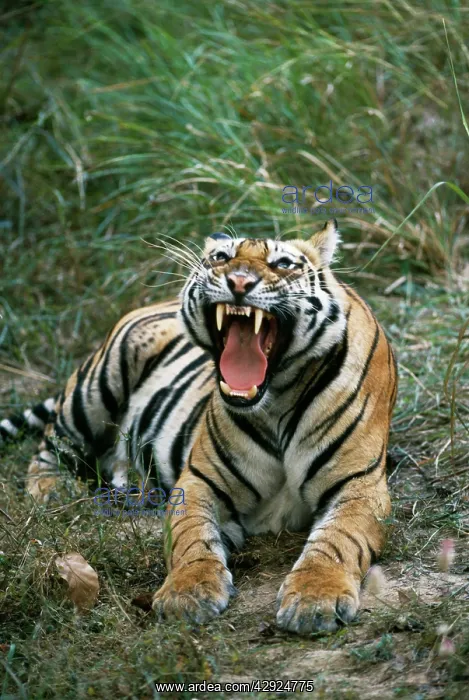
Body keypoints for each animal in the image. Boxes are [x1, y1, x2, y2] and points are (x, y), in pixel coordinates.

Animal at [1, 219, 397, 634]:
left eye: (283, 263)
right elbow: (193, 539)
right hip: (97, 385)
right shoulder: (198, 482)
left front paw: (315, 598)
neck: (277, 399)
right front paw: (187, 594)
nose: (239, 281)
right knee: (50, 445)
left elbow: (336, 542)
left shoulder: (359, 487)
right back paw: (52, 490)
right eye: (221, 257)